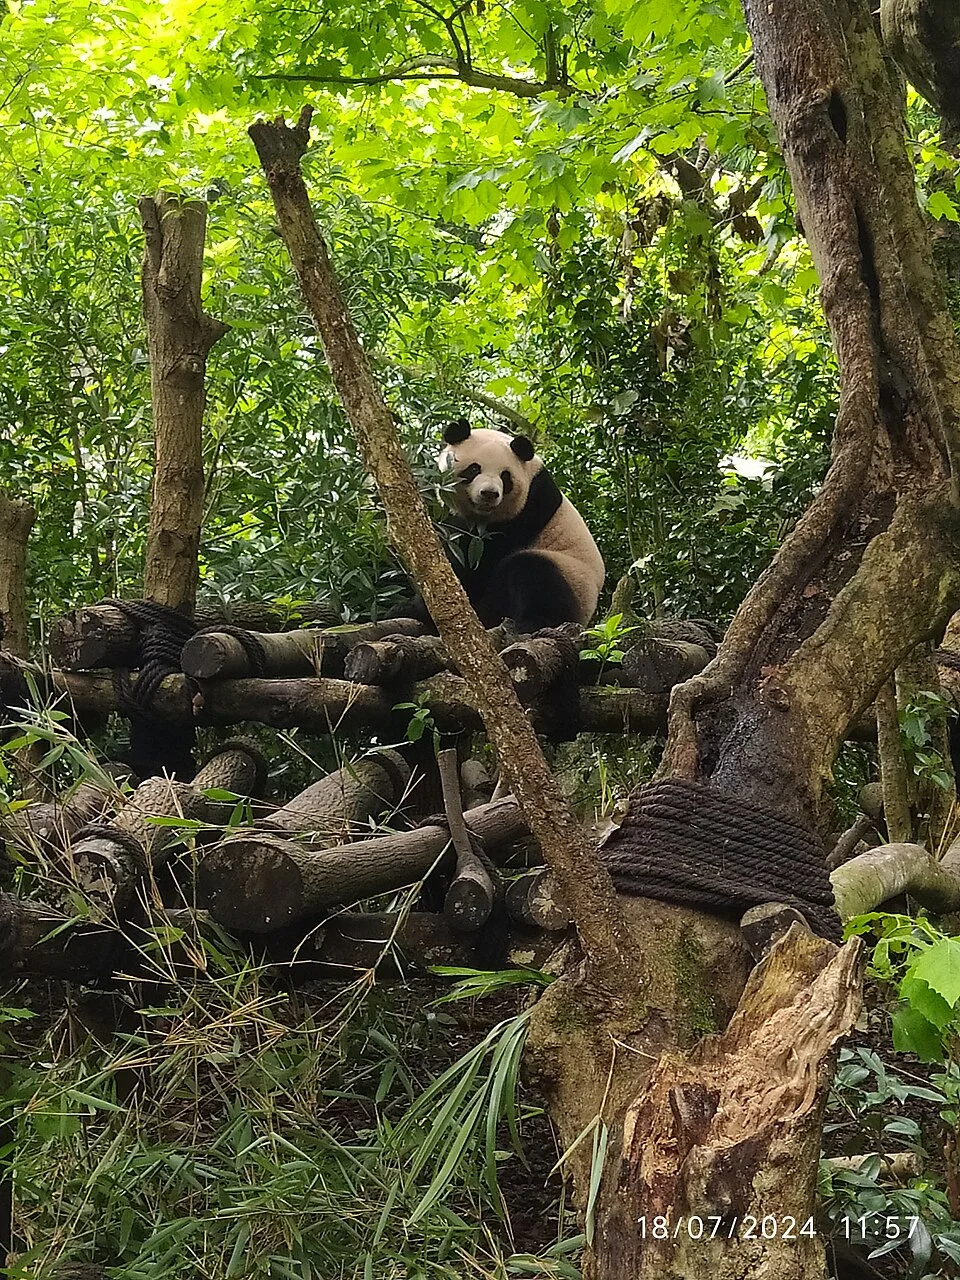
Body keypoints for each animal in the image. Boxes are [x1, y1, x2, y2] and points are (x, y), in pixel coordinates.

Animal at [394, 419, 605, 634]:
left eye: (505, 476)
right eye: (474, 469)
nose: (489, 493)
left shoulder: (525, 510)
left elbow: (475, 565)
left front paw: (415, 608)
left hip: (573, 576)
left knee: (534, 574)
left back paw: (532, 622)